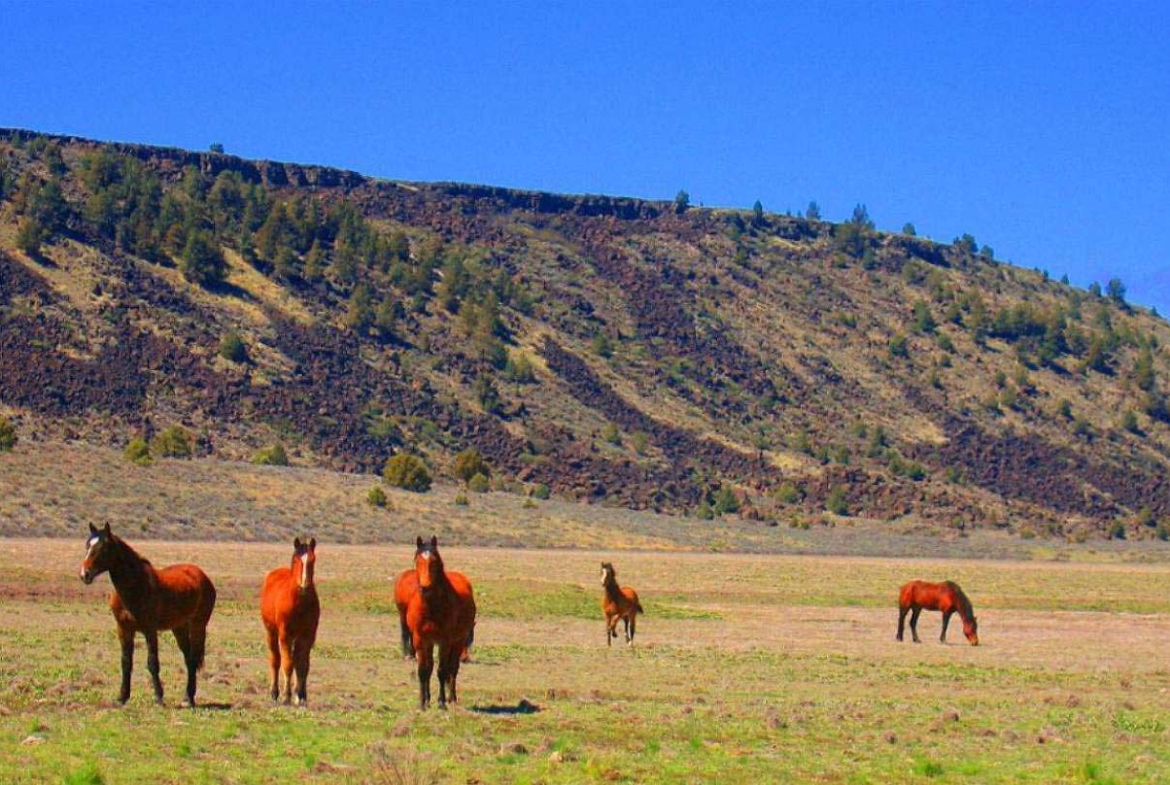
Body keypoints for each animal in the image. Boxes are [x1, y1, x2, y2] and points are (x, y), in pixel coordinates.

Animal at [78, 524, 216, 711]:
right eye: (87, 546)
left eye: (103, 548)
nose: (85, 574)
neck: (134, 586)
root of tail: (202, 576)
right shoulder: (124, 630)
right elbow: (126, 662)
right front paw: (122, 697)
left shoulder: (150, 630)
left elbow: (152, 662)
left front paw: (158, 697)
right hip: (179, 628)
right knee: (188, 659)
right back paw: (187, 697)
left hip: (198, 625)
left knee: (193, 659)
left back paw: (189, 698)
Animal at [260, 540, 320, 706]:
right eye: (296, 560)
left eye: (312, 560)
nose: (304, 585)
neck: (300, 602)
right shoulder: (285, 634)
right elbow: (288, 664)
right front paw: (286, 696)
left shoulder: (308, 636)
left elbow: (303, 665)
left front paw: (301, 696)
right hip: (271, 633)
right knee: (276, 660)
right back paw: (275, 693)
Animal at [402, 538, 475, 711]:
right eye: (418, 561)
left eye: (435, 561)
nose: (425, 587)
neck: (431, 608)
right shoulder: (421, 640)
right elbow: (424, 670)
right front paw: (423, 702)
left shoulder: (445, 641)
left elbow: (442, 670)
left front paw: (441, 702)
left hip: (458, 641)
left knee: (452, 668)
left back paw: (451, 698)